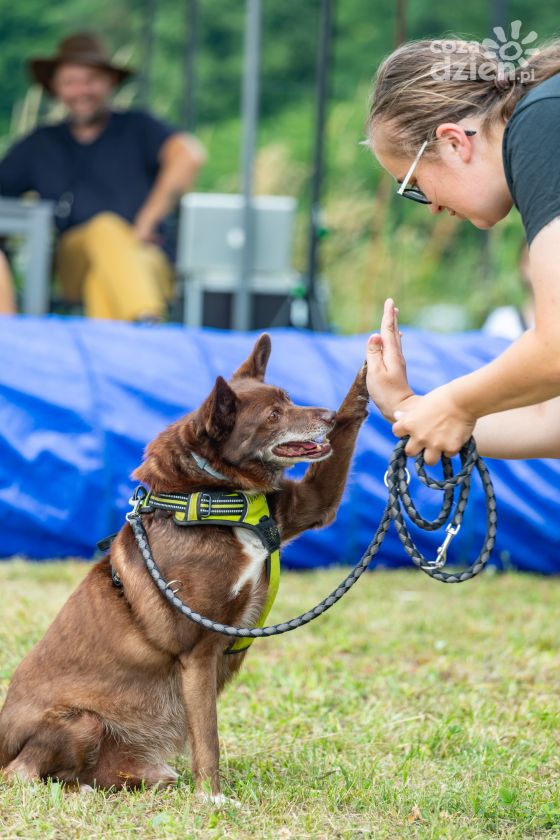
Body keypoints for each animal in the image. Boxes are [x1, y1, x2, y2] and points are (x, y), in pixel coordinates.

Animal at [0, 334, 369, 799]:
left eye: (289, 399)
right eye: (273, 415)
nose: (328, 417)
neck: (214, 499)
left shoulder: (310, 505)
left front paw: (374, 367)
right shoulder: (199, 650)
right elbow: (208, 736)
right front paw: (212, 797)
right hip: (81, 722)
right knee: (21, 775)